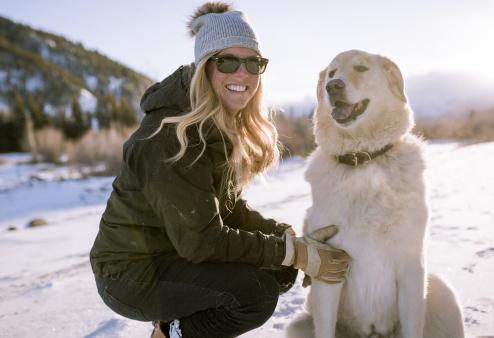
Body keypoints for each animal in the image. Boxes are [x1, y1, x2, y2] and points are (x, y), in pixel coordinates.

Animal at [288, 50, 466, 338]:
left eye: (361, 68)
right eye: (331, 73)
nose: (332, 86)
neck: (363, 158)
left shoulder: (411, 267)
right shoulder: (328, 272)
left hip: (443, 292)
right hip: (297, 324)